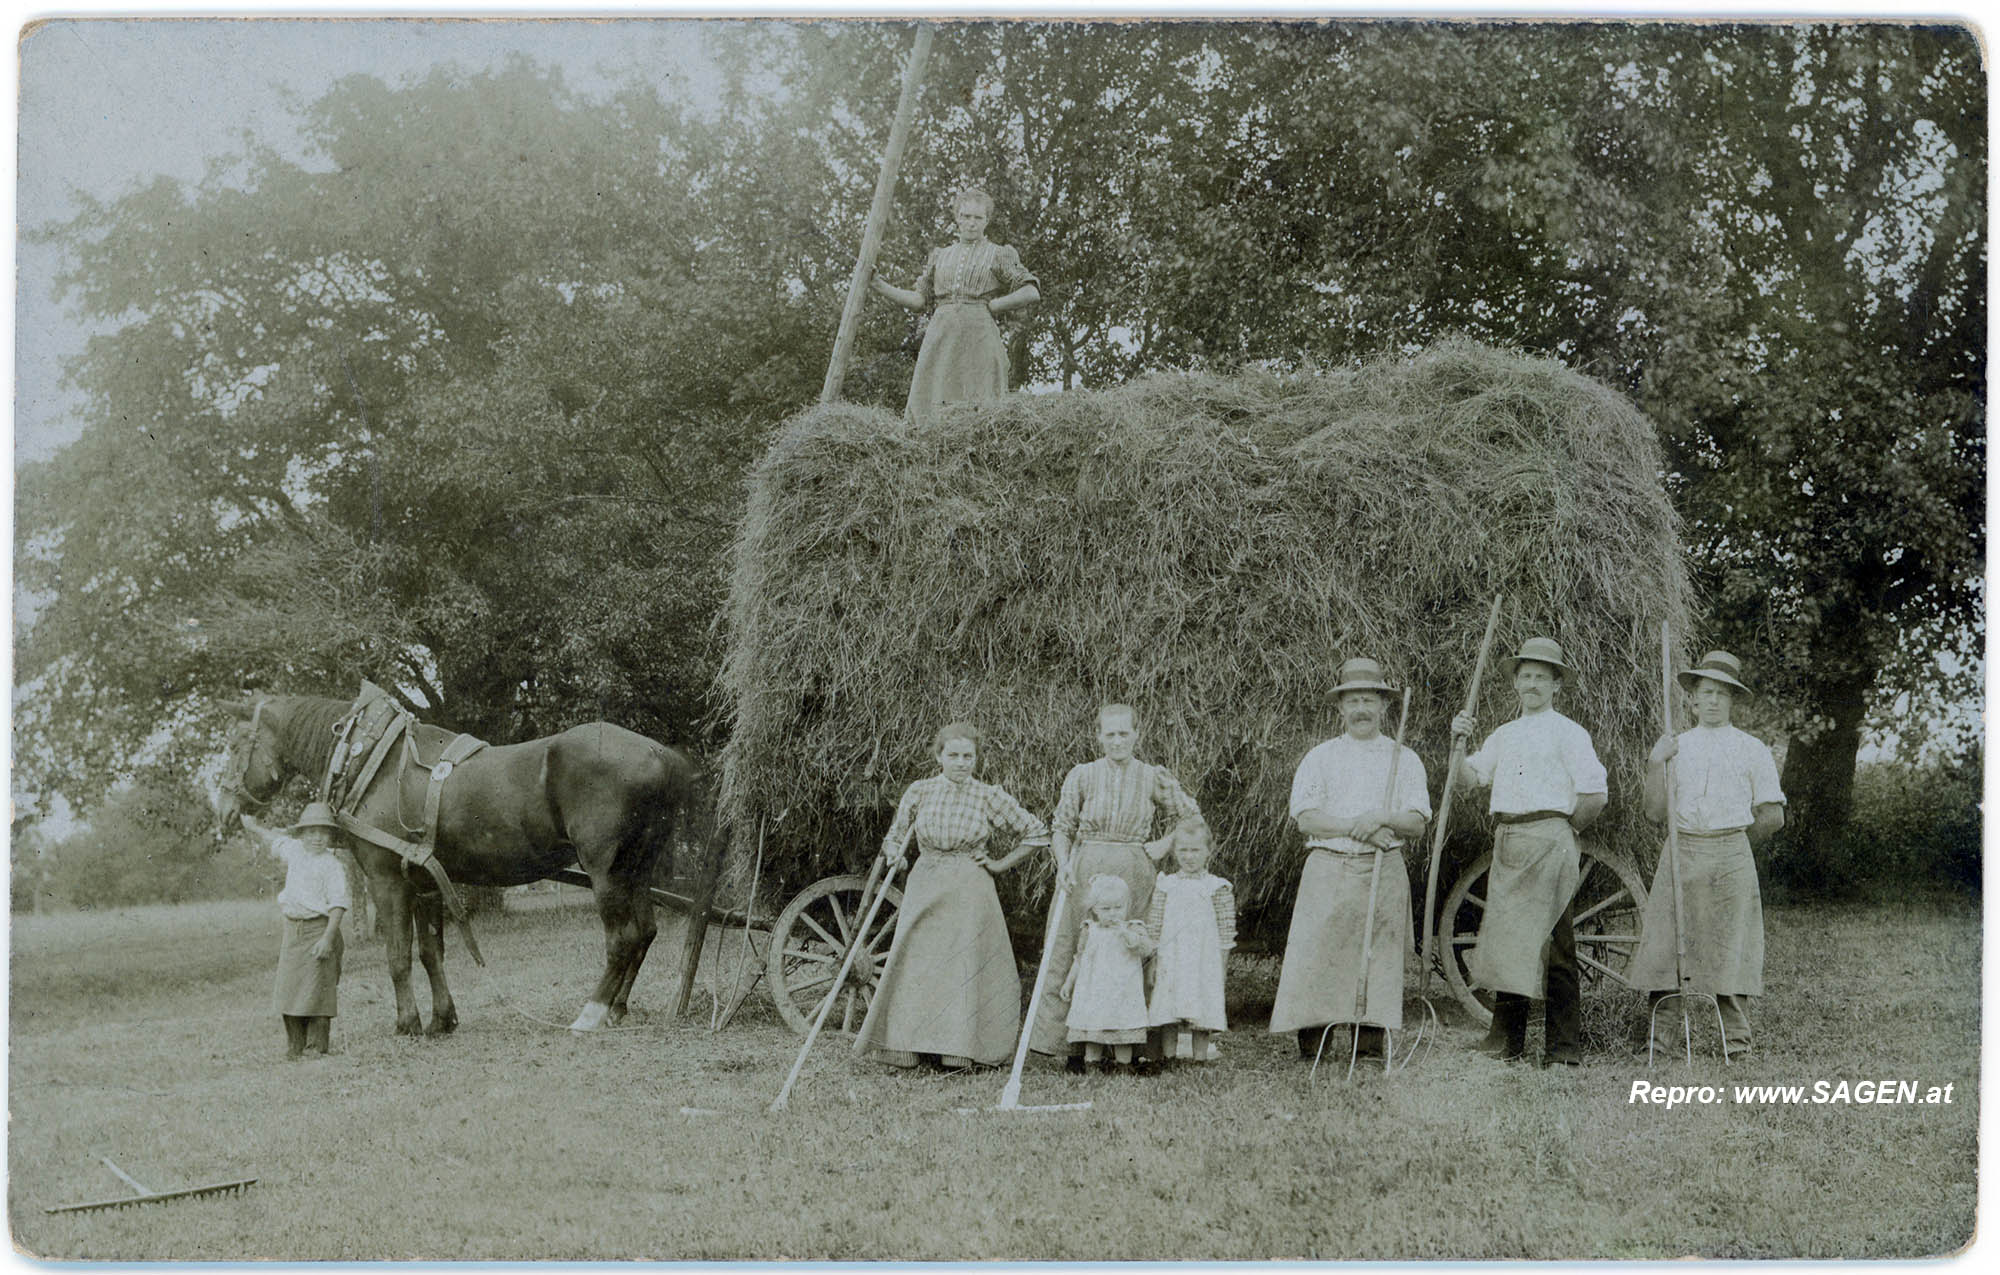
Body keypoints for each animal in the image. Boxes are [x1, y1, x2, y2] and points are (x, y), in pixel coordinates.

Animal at [216, 699, 700, 1039]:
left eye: (237, 745)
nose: (224, 810)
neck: (375, 760)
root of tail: (661, 754)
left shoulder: (386, 882)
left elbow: (398, 956)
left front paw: (407, 1023)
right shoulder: (425, 882)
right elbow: (431, 954)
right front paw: (441, 1020)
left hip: (605, 871)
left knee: (621, 939)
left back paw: (591, 1013)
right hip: (637, 868)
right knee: (645, 932)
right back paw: (617, 1008)